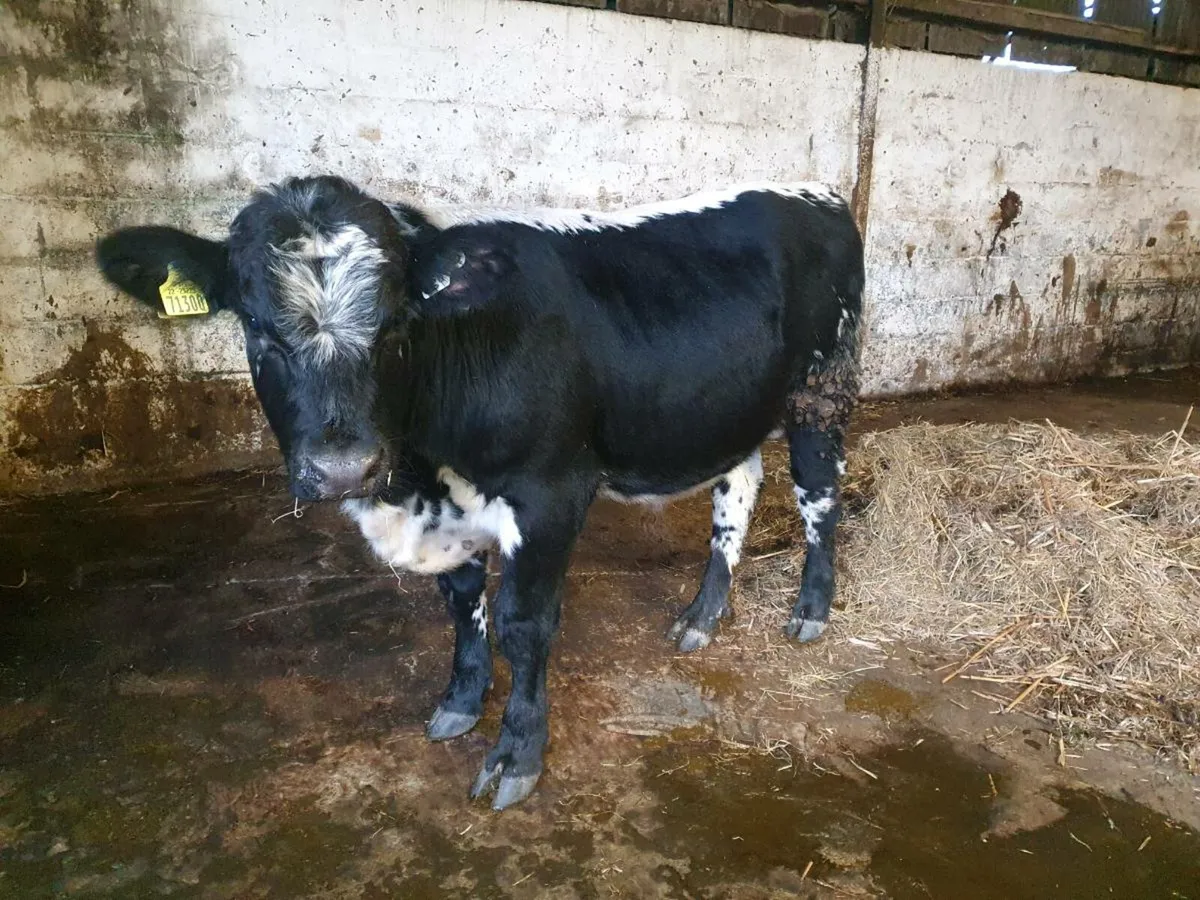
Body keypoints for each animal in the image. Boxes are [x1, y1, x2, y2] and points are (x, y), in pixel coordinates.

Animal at [95, 175, 864, 810]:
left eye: (396, 324)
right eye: (255, 327)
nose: (343, 469)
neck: (417, 480)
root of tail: (816, 193)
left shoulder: (553, 493)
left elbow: (524, 624)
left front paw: (516, 755)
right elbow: (462, 606)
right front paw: (462, 699)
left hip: (821, 389)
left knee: (820, 497)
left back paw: (810, 610)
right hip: (727, 414)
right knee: (738, 491)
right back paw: (703, 614)